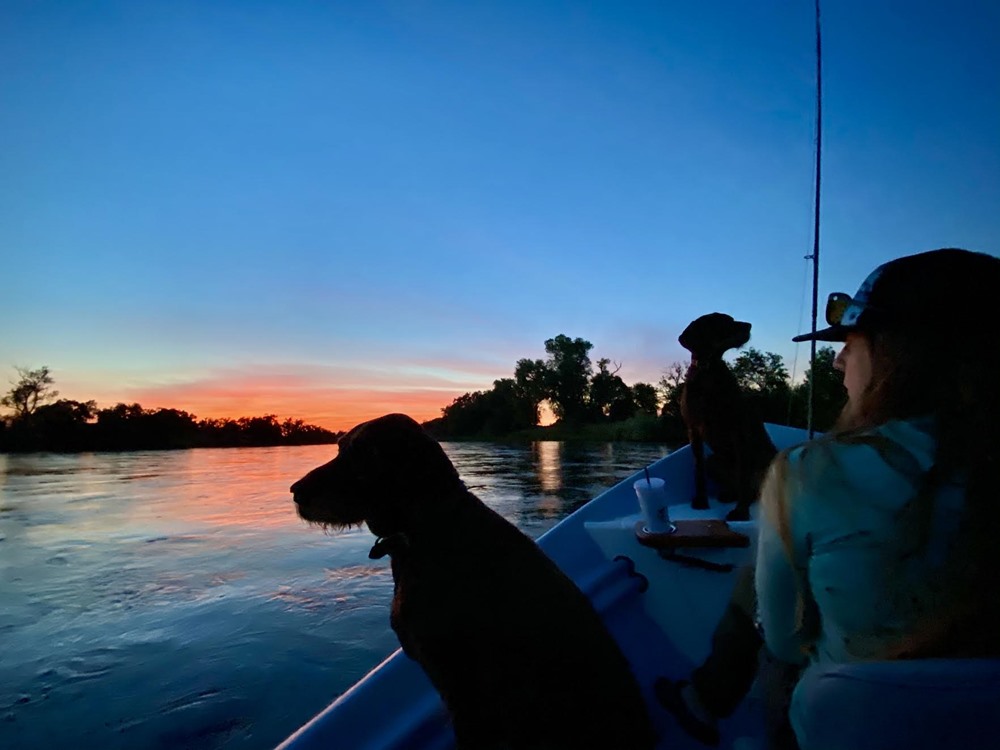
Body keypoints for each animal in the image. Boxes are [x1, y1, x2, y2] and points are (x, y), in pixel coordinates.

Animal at [676, 314, 776, 520]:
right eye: (723, 321)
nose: (749, 325)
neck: (708, 371)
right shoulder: (693, 429)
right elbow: (698, 470)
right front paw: (701, 501)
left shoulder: (738, 429)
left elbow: (743, 474)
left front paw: (741, 511)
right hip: (713, 461)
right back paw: (729, 494)